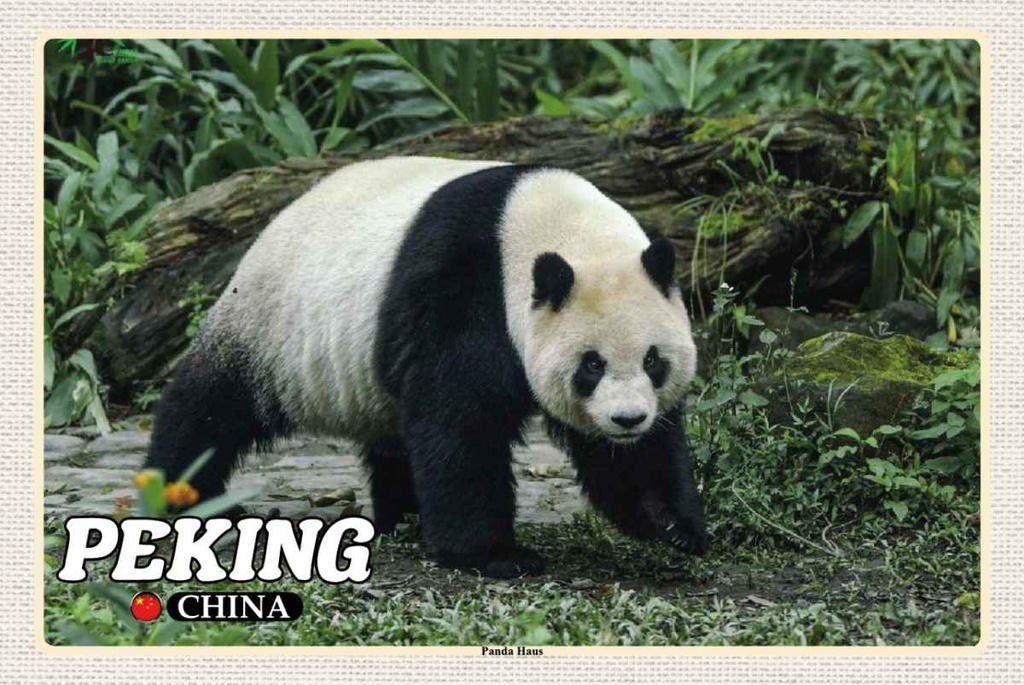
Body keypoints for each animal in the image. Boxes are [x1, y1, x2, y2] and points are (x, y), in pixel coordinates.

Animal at [144, 156, 709, 578]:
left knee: (392, 436)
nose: (627, 419)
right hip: (272, 327)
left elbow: (633, 457)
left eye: (653, 360)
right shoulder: (464, 285)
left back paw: (402, 515)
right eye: (590, 364)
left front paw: (672, 522)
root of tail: (275, 222)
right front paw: (494, 555)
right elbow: (459, 420)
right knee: (210, 407)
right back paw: (183, 497)